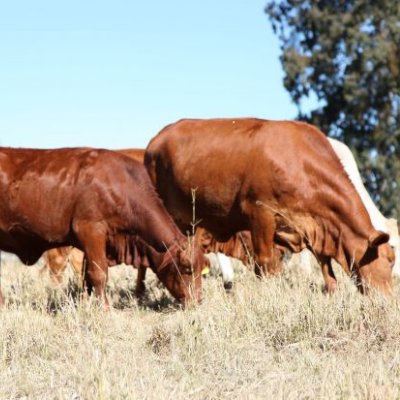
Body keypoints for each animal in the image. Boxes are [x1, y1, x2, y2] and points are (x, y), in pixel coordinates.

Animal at [0, 148, 205, 308]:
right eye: (187, 268)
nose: (197, 301)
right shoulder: (90, 231)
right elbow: (99, 274)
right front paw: (104, 310)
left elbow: (86, 278)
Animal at [145, 117, 396, 296]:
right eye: (391, 259)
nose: (389, 299)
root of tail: (157, 138)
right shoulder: (260, 215)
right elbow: (266, 263)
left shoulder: (312, 225)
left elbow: (325, 265)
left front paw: (332, 292)